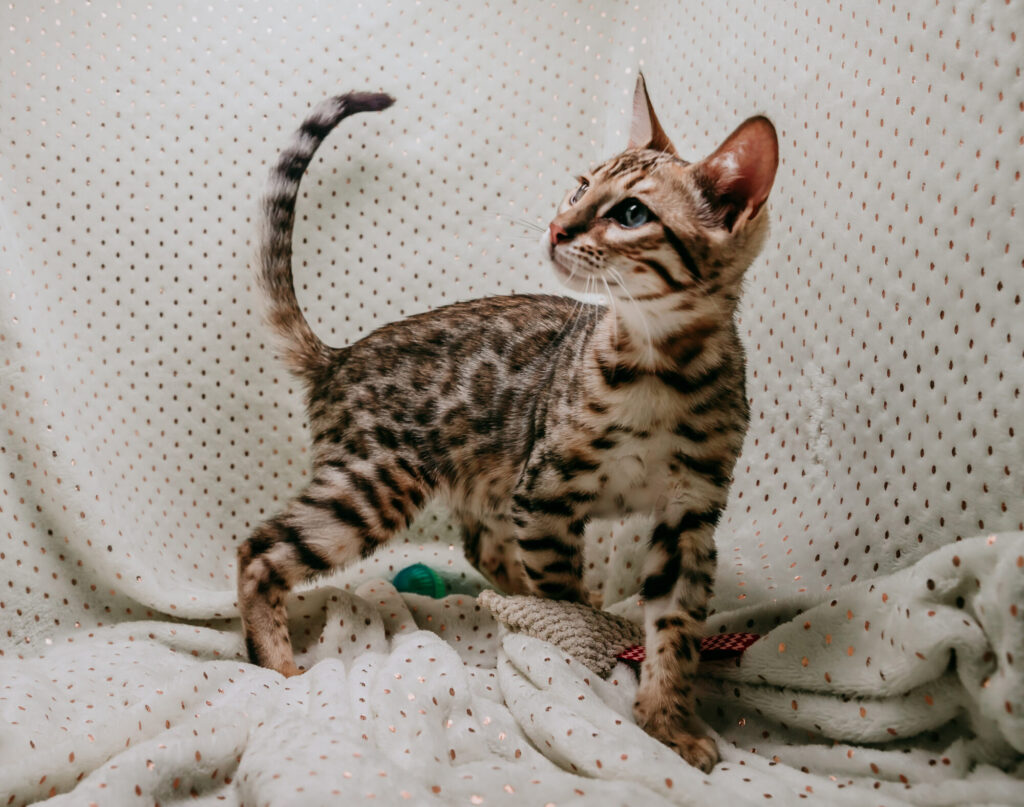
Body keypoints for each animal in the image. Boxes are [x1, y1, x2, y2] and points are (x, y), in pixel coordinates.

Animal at [237, 75, 774, 770]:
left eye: (632, 214)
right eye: (580, 185)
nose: (556, 227)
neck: (659, 366)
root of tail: (339, 356)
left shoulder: (689, 517)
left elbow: (676, 631)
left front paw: (668, 722)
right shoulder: (546, 492)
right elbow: (560, 592)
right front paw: (577, 656)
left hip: (472, 478)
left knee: (480, 545)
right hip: (375, 482)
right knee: (259, 550)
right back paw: (277, 665)